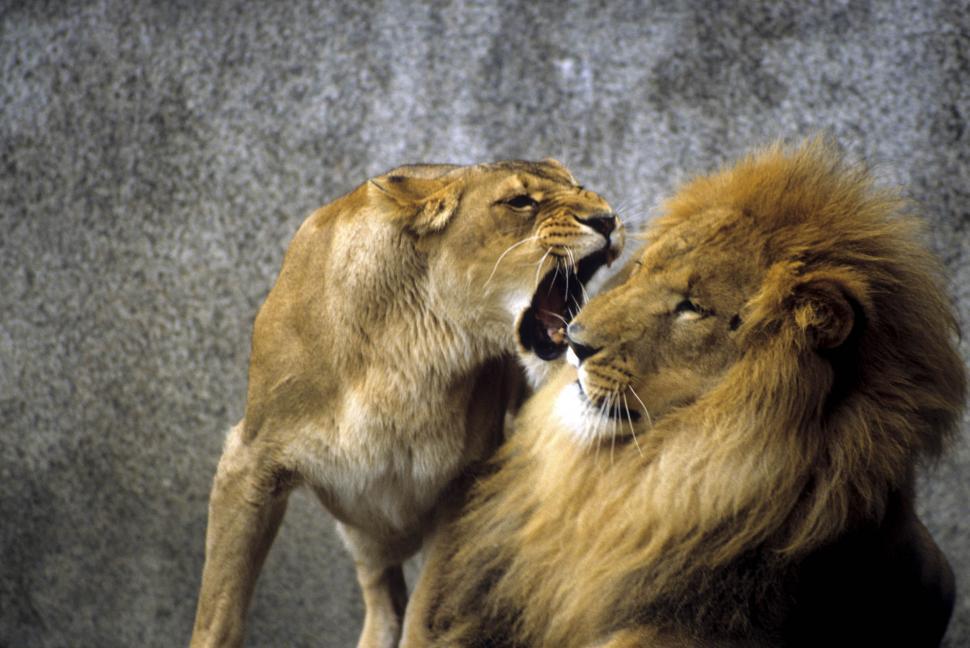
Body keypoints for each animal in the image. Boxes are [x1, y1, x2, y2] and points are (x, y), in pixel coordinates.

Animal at [189, 158, 624, 648]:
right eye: (520, 202)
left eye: (579, 186)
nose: (608, 220)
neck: (413, 345)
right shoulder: (249, 461)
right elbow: (218, 611)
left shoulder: (462, 485)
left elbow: (424, 613)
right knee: (384, 599)